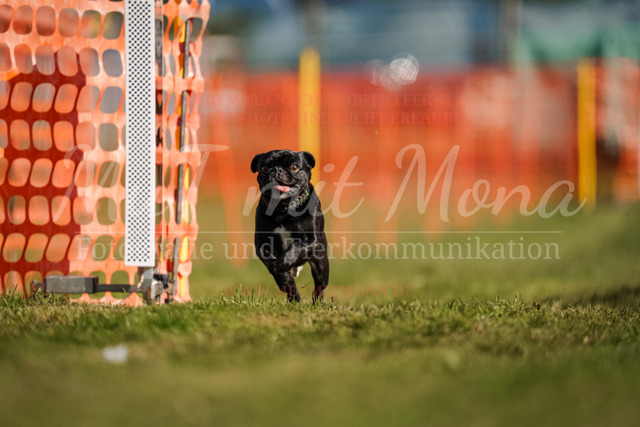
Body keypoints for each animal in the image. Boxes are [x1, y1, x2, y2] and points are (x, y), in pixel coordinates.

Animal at [251, 150, 329, 302]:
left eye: (294, 167)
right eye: (264, 168)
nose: (277, 170)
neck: (283, 209)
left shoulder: (311, 239)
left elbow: (296, 247)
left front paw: (283, 262)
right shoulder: (262, 244)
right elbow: (272, 265)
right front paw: (284, 277)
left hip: (321, 265)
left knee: (319, 286)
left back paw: (317, 302)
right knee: (291, 288)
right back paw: (294, 298)